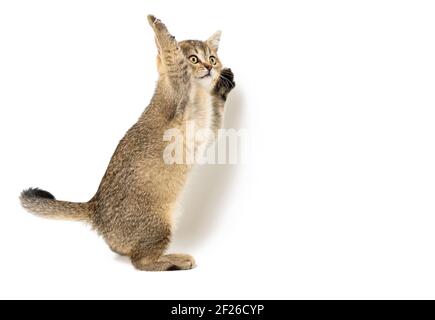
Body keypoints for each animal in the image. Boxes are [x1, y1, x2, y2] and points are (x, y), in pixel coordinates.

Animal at [19, 15, 237, 270]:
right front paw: (159, 27)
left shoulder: (210, 130)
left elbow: (218, 109)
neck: (199, 98)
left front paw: (223, 85)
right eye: (194, 58)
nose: (211, 67)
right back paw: (176, 260)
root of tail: (95, 207)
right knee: (140, 262)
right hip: (160, 222)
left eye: (212, 58)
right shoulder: (178, 92)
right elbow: (175, 61)